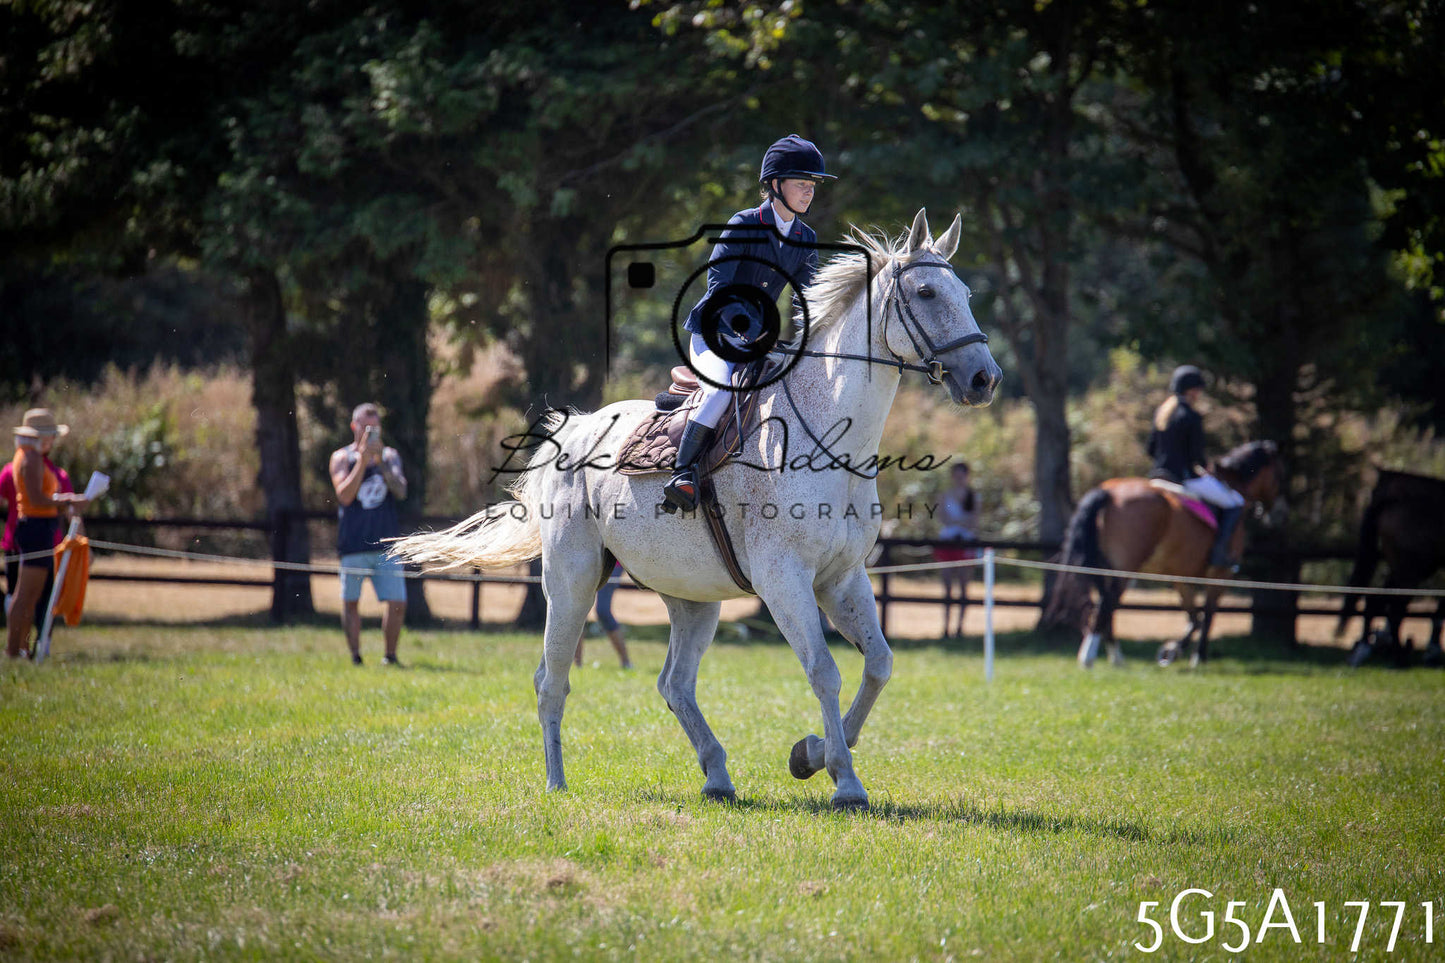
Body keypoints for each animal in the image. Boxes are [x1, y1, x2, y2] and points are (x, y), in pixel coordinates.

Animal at [393, 210, 1002, 809]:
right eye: (926, 292)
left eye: (967, 293)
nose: (985, 378)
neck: (826, 436)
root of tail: (573, 430)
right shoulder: (785, 580)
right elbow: (824, 671)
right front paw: (845, 782)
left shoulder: (842, 578)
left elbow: (878, 665)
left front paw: (812, 755)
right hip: (571, 580)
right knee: (553, 679)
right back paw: (557, 783)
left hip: (691, 596)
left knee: (675, 684)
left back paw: (717, 775)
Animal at [1042, 441, 1283, 669]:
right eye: (1279, 473)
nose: (1278, 513)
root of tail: (1109, 491)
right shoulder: (1220, 574)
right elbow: (1207, 615)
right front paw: (1194, 656)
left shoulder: (1180, 577)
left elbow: (1195, 617)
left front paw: (1171, 651)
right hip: (1125, 570)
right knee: (1106, 605)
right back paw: (1091, 659)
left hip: (1104, 568)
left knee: (1104, 607)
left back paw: (1114, 658)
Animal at [1337, 468, 1445, 667]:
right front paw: (1432, 652)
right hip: (1412, 569)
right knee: (1395, 610)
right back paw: (1398, 658)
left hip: (1409, 568)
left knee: (1379, 602)